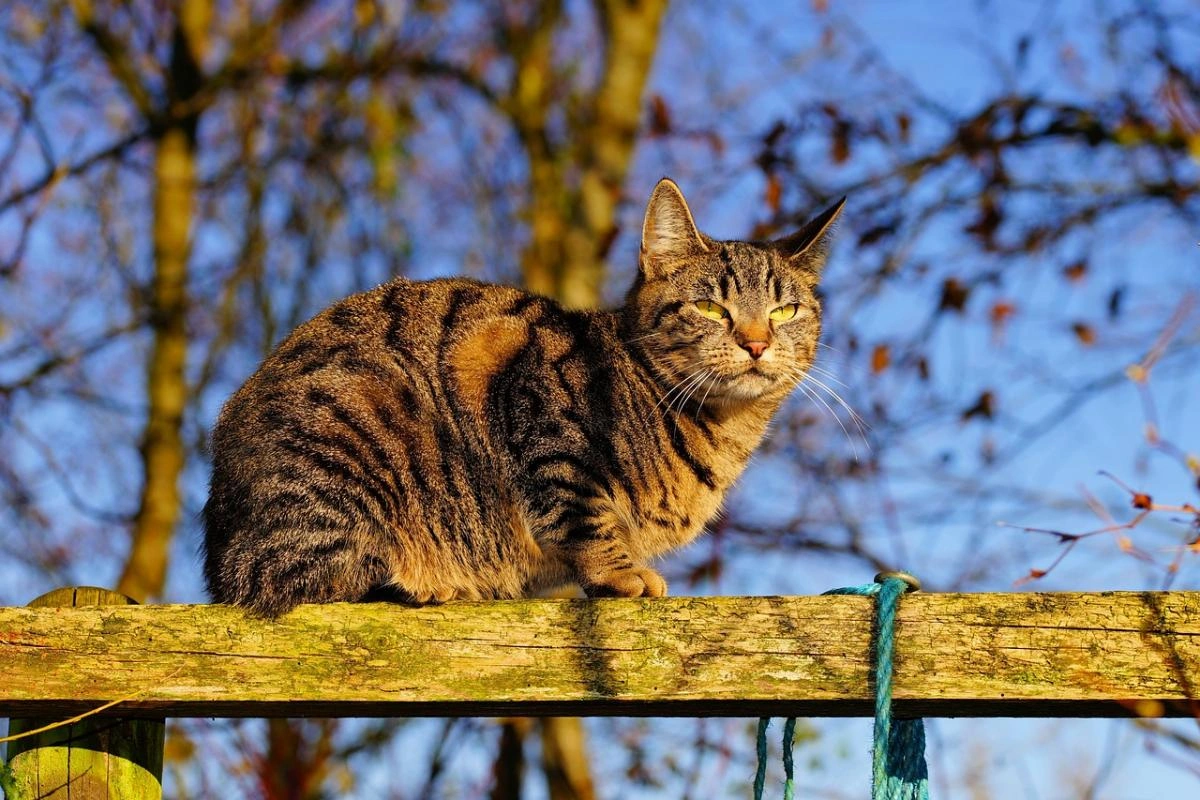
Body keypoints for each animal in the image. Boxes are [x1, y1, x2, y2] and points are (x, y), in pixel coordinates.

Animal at [204, 179, 844, 618]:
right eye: (711, 307)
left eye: (785, 310)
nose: (757, 342)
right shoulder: (539, 409)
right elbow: (583, 514)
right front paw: (621, 573)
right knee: (294, 577)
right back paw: (428, 584)